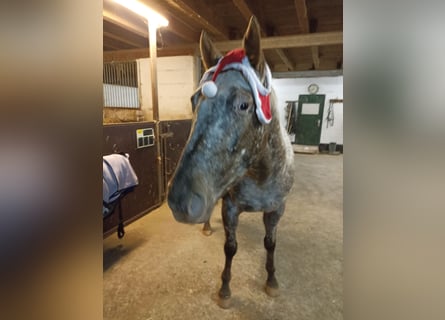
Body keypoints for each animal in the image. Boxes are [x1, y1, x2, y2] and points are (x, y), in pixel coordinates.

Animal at [166, 16, 294, 308]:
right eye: (193, 100)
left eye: (244, 105)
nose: (180, 200)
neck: (260, 175)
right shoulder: (230, 207)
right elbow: (230, 247)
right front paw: (224, 290)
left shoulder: (277, 209)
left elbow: (271, 243)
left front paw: (272, 282)